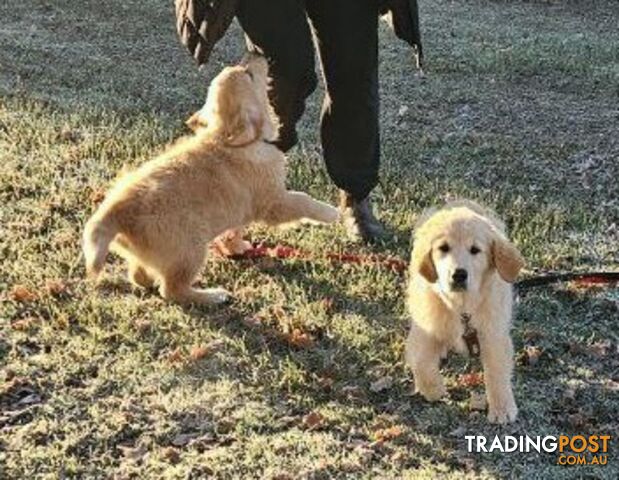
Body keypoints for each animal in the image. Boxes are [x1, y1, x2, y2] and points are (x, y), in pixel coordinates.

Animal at [82, 55, 340, 304]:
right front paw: (332, 213)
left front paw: (237, 247)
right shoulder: (274, 201)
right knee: (172, 290)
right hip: (191, 249)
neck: (227, 137)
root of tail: (113, 212)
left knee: (139, 275)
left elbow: (236, 230)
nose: (257, 52)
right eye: (249, 74)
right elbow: (303, 200)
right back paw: (213, 296)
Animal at [406, 201, 524, 422]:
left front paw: (502, 408)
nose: (458, 275)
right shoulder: (423, 329)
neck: (461, 307)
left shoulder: (493, 334)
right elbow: (420, 362)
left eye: (475, 250)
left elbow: (497, 372)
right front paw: (434, 390)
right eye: (443, 248)